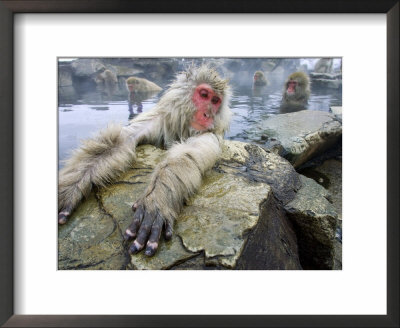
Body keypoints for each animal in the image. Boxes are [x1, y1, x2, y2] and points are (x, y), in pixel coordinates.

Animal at [60, 65, 234, 256]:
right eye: (204, 95)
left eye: (216, 101)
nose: (208, 114)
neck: (183, 128)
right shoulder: (158, 119)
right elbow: (119, 142)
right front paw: (71, 189)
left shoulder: (211, 135)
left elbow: (185, 156)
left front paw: (157, 200)